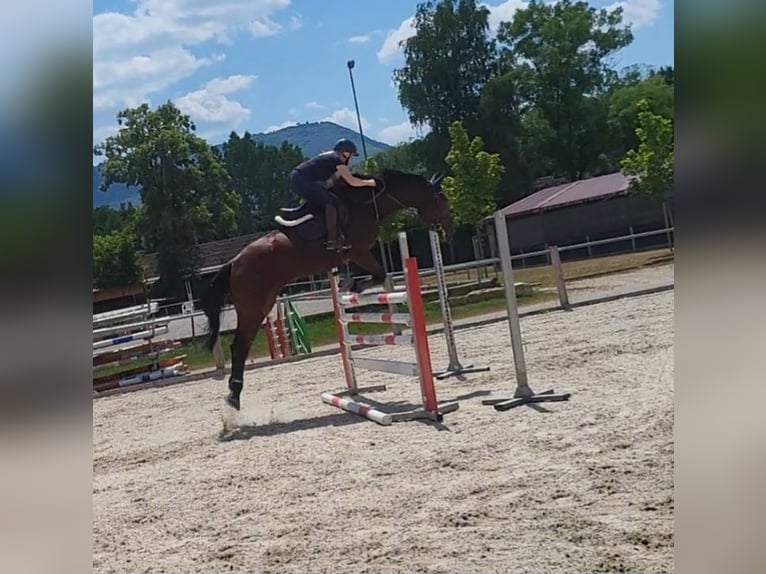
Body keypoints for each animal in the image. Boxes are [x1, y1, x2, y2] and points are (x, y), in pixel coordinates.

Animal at [198, 169, 456, 412]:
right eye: (442, 198)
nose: (448, 228)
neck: (367, 202)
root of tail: (233, 263)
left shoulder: (354, 255)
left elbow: (375, 275)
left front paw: (347, 284)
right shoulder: (359, 251)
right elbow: (380, 275)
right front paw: (353, 285)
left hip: (263, 304)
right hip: (253, 308)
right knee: (239, 347)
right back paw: (233, 396)